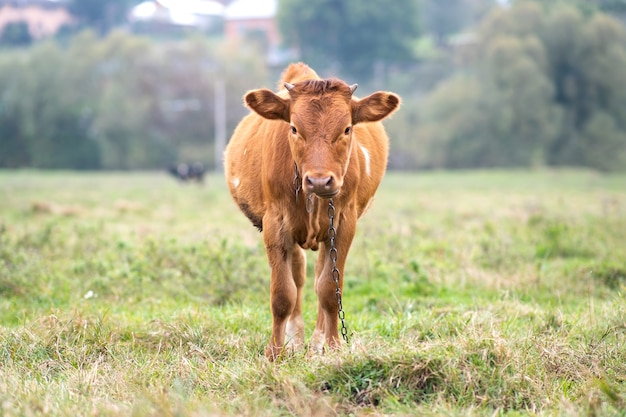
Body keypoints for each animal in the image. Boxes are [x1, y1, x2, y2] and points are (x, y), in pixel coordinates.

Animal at [224, 61, 400, 358]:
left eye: (347, 129)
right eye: (294, 128)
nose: (319, 180)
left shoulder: (343, 225)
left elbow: (330, 290)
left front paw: (334, 346)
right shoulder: (275, 225)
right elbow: (283, 294)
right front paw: (275, 353)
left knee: (319, 278)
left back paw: (317, 341)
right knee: (299, 276)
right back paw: (295, 339)